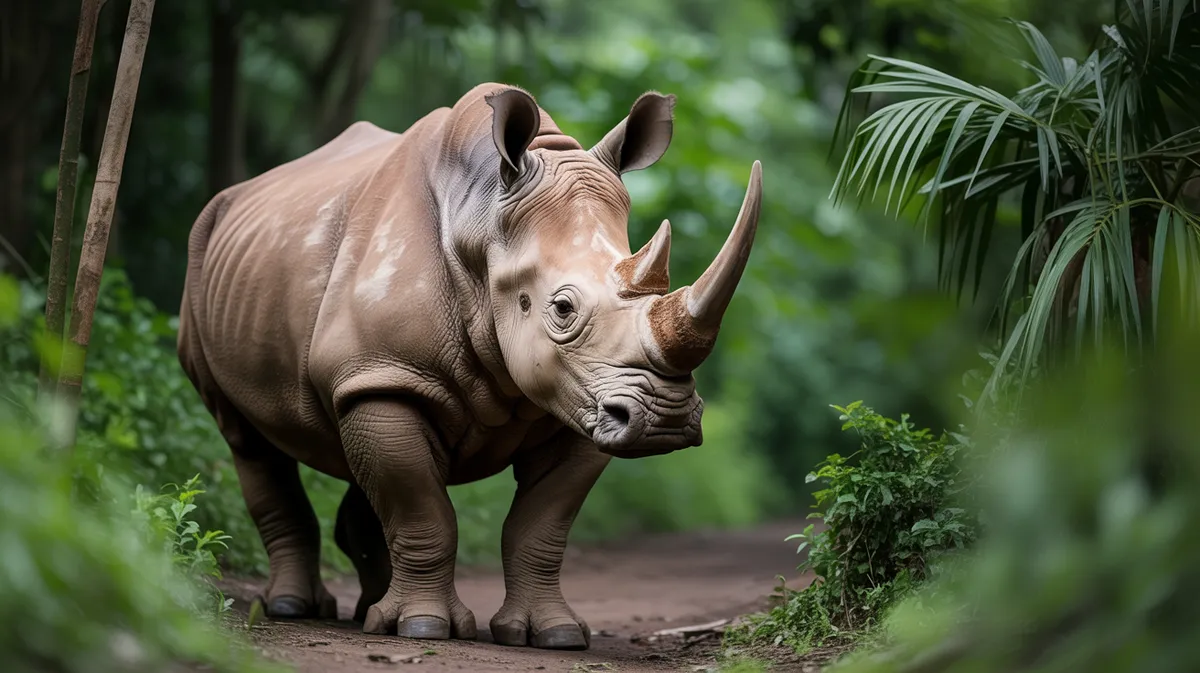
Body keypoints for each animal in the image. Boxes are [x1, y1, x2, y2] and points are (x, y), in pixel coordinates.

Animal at [177, 82, 762, 650]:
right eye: (562, 308)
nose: (665, 419)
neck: (482, 222)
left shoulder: (580, 401)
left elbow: (541, 525)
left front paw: (554, 635)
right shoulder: (387, 374)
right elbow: (421, 509)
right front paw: (423, 627)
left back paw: (369, 614)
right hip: (204, 259)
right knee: (249, 441)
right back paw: (295, 608)